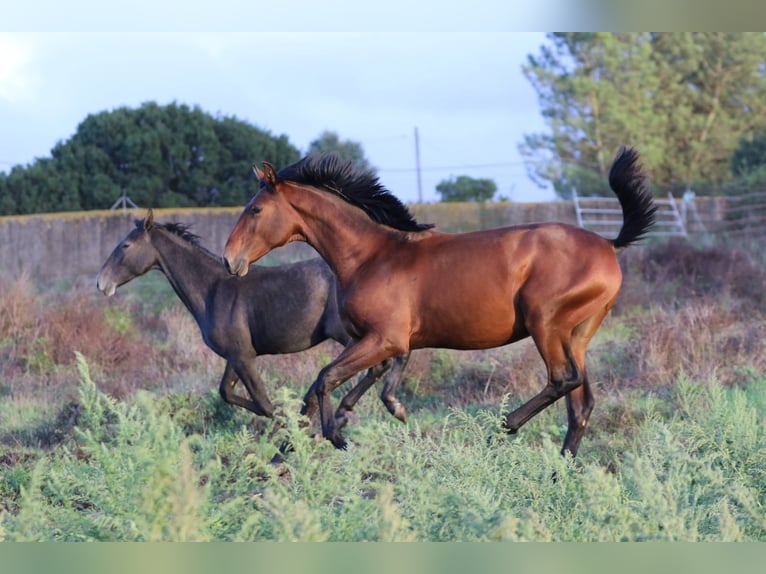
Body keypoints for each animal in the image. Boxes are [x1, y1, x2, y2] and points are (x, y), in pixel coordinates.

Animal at [225, 146, 656, 456]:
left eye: (256, 209)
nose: (231, 260)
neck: (372, 255)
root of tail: (608, 244)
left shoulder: (384, 338)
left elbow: (326, 377)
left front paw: (335, 436)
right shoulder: (380, 341)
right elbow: (353, 382)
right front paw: (294, 444)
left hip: (545, 324)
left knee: (563, 379)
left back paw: (502, 428)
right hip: (577, 334)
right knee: (580, 404)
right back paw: (559, 472)